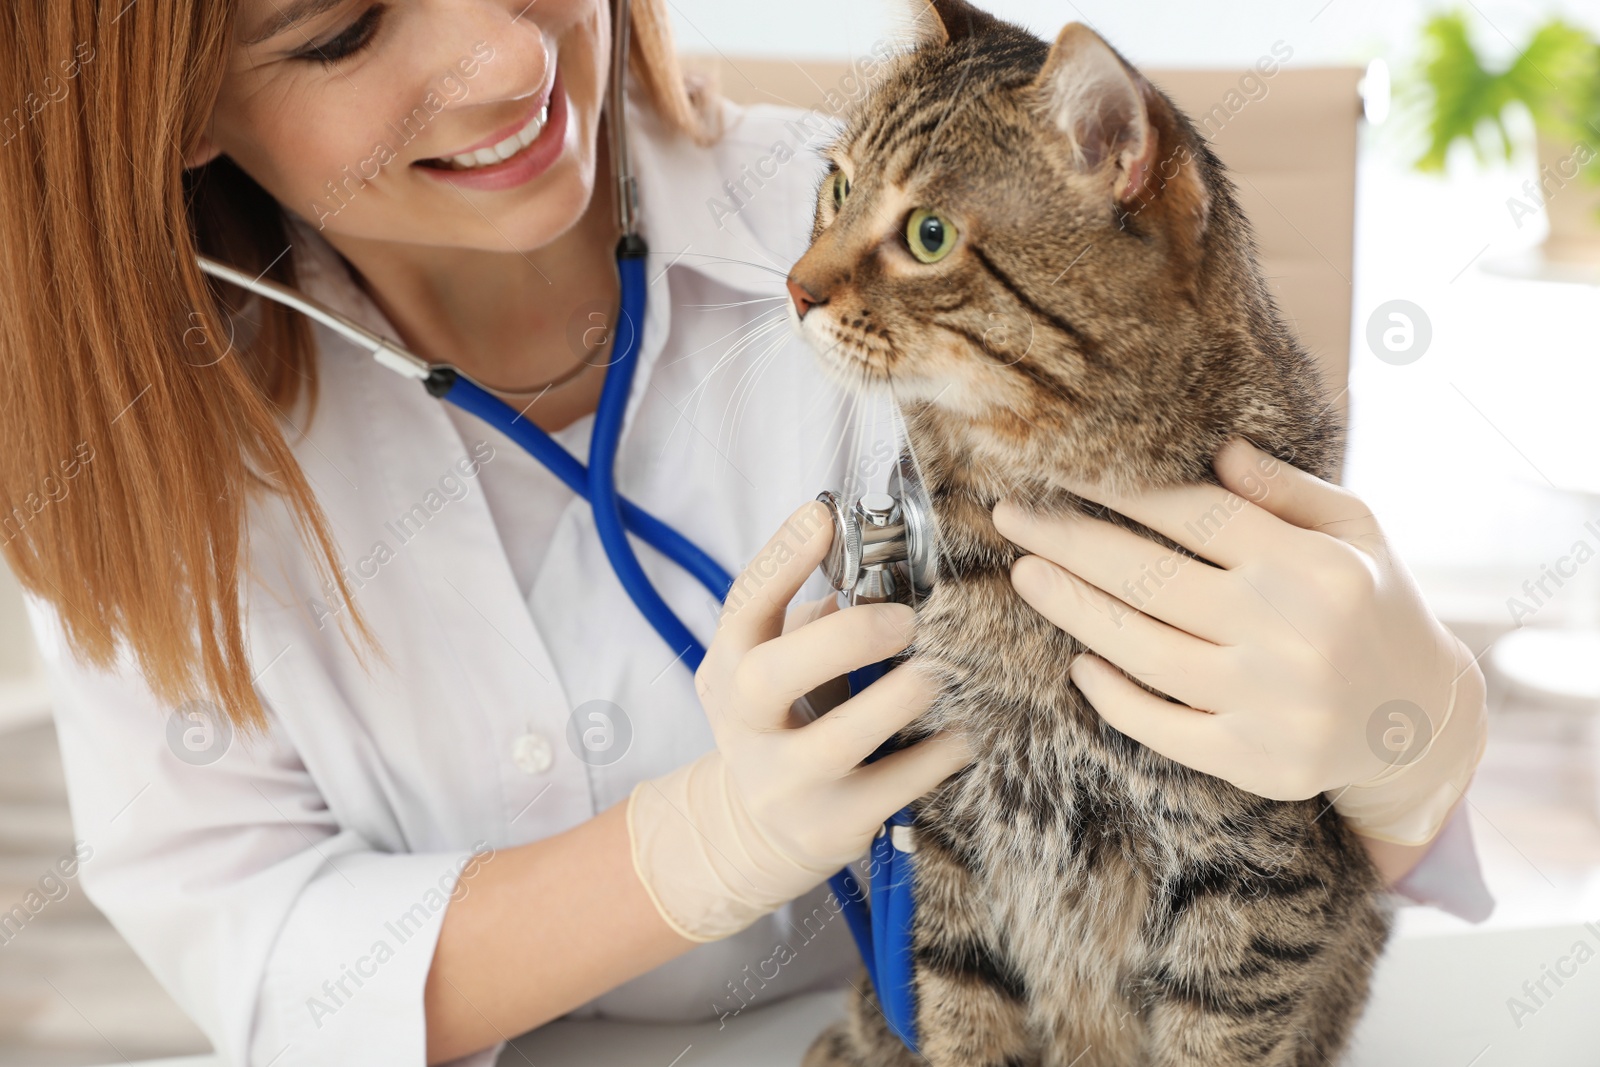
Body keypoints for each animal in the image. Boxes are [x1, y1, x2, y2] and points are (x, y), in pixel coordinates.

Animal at [784, 2, 1388, 1067]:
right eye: (839, 185)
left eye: (929, 235)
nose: (793, 287)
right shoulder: (948, 837)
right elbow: (961, 1014)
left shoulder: (1251, 882)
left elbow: (1214, 1037)